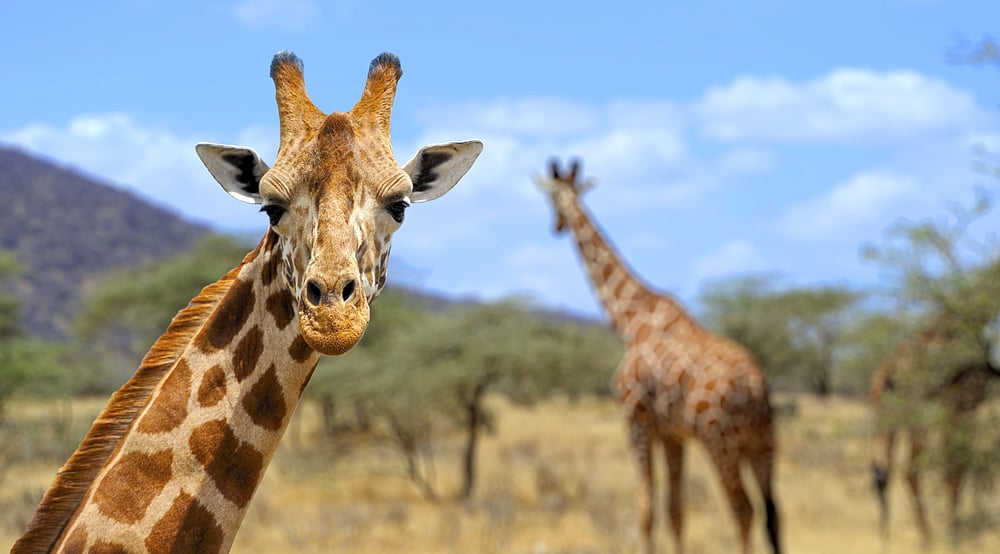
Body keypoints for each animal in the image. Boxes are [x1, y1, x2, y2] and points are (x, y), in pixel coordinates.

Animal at [534, 160, 780, 554]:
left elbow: (646, 511)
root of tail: (757, 388)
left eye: (551, 197)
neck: (631, 321)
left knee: (743, 511)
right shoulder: (672, 434)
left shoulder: (636, 421)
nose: (556, 226)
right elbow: (675, 511)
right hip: (763, 443)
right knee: (774, 516)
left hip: (720, 442)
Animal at [870, 321, 999, 545]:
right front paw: (955, 534)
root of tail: (892, 368)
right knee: (911, 469)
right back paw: (928, 537)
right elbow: (956, 467)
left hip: (887, 414)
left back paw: (885, 539)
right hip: (918, 413)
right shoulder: (960, 406)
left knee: (882, 472)